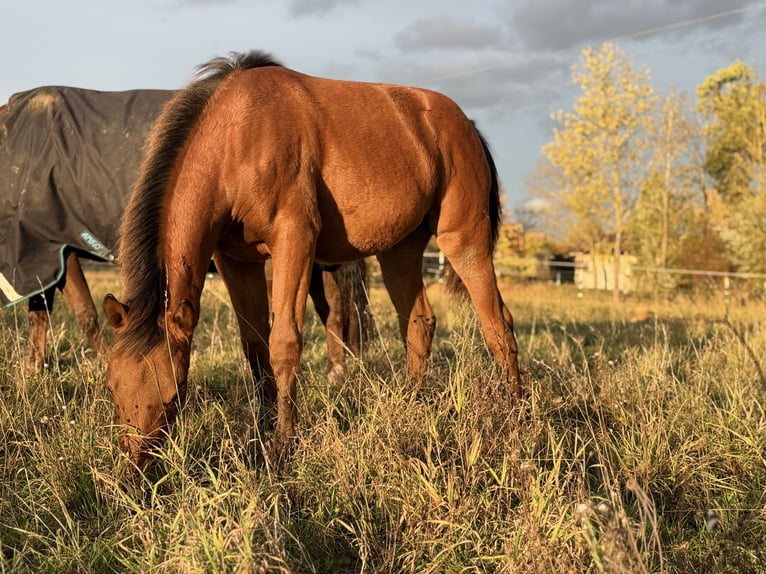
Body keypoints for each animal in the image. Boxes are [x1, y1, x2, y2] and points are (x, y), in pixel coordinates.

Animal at [0, 86, 369, 374]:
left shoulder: (54, 248)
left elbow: (84, 314)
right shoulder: (46, 255)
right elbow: (43, 313)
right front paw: (33, 370)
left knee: (335, 311)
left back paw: (337, 374)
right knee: (333, 310)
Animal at [104, 51, 521, 471]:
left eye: (174, 394)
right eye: (111, 388)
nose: (134, 471)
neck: (236, 136)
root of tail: (466, 124)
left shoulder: (295, 239)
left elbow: (283, 344)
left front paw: (282, 447)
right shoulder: (236, 262)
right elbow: (256, 350)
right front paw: (261, 434)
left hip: (463, 239)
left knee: (498, 323)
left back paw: (513, 412)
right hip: (398, 251)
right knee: (420, 322)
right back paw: (413, 404)